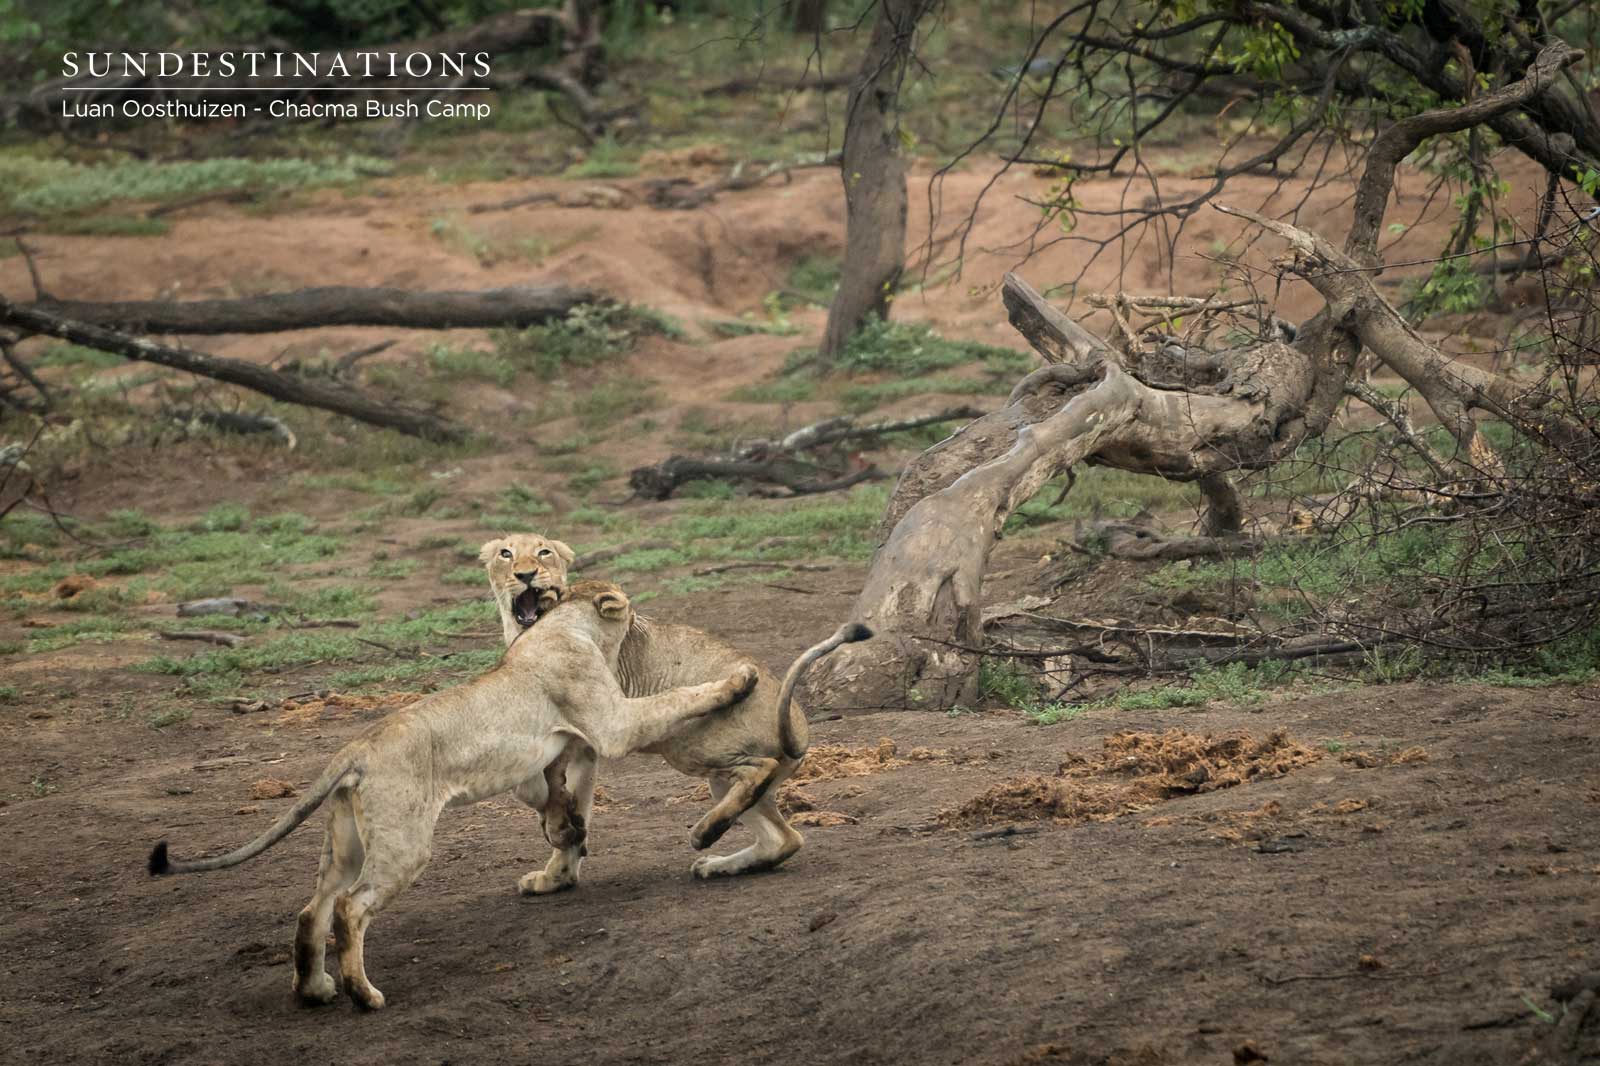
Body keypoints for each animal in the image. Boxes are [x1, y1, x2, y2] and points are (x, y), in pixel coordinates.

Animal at [146, 581, 758, 1011]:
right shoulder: (612, 723)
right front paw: (740, 680)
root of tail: (356, 747)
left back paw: (315, 990)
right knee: (349, 909)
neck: (563, 627)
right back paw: (364, 995)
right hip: (404, 841)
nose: (642, 620)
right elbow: (674, 700)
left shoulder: (545, 755)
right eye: (628, 611)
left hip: (346, 843)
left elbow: (554, 796)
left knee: (311, 910)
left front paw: (567, 832)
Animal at [481, 534, 871, 882]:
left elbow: (540, 783)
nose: (529, 577)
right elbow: (548, 787)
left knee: (758, 769)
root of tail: (796, 724)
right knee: (784, 837)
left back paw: (702, 834)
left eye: (544, 553)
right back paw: (715, 862)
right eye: (506, 554)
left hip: (688, 746)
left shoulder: (594, 727)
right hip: (721, 779)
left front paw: (561, 834)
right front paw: (561, 843)